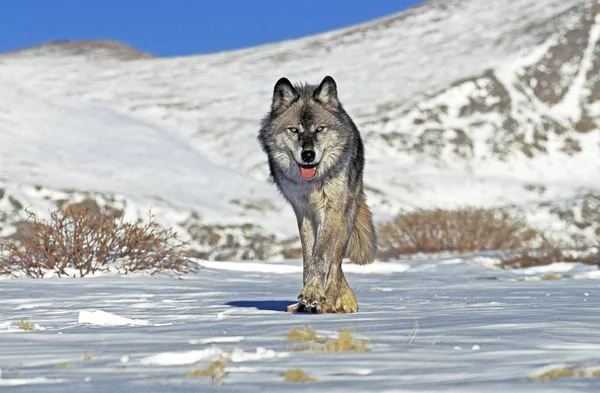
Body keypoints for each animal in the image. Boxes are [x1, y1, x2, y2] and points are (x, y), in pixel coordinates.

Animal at [256, 74, 376, 312]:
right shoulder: (302, 211)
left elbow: (321, 256)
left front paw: (315, 294)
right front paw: (307, 300)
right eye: (294, 130)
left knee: (336, 262)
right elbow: (308, 257)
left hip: (345, 218)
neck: (310, 183)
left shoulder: (332, 209)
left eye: (320, 129)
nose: (308, 155)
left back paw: (332, 302)